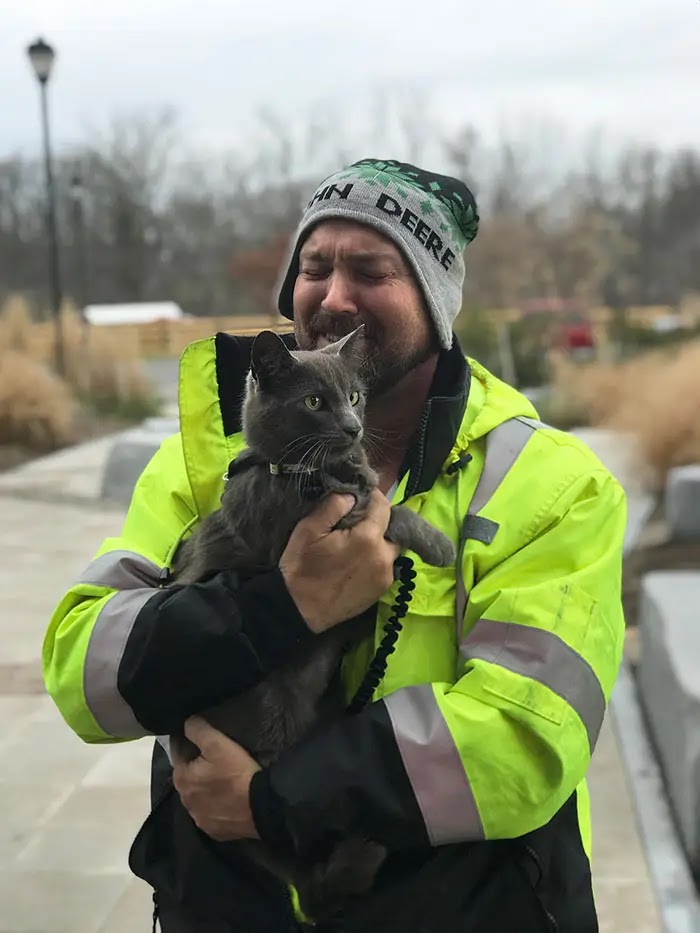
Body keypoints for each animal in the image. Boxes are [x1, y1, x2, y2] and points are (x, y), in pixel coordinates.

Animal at [169, 326, 454, 916]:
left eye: (356, 396)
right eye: (314, 402)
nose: (353, 427)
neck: (311, 471)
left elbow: (380, 500)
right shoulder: (313, 528)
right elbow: (387, 509)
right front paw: (439, 543)